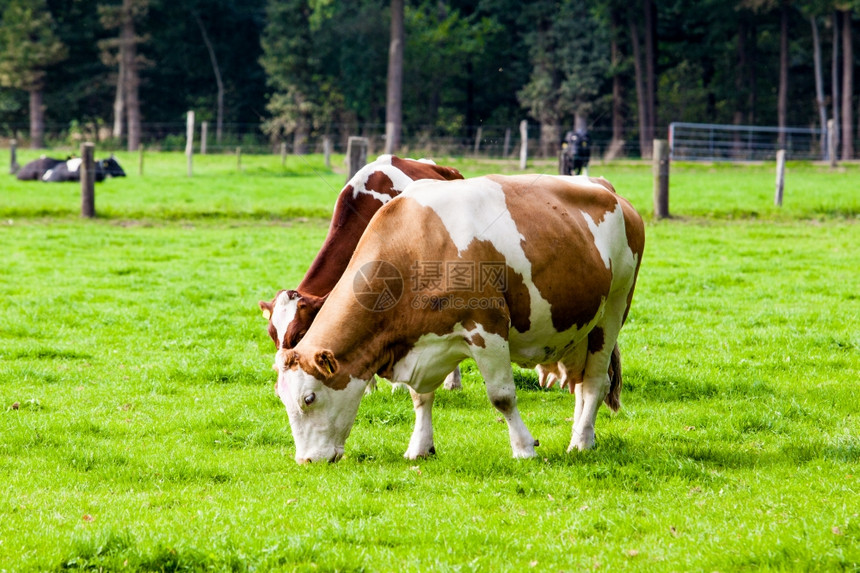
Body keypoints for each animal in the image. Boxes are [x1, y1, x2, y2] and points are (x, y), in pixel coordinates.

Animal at [260, 154, 464, 392]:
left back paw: (453, 381)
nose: (281, 385)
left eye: (300, 334)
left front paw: (399, 386)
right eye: (272, 334)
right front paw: (369, 387)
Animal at [272, 173, 640, 460]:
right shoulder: (422, 342)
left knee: (596, 381)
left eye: (308, 398)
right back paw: (584, 433)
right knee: (580, 384)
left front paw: (524, 448)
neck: (415, 246)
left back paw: (580, 442)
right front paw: (420, 447)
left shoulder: (488, 328)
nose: (306, 460)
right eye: (283, 400)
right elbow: (420, 397)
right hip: (580, 330)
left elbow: (502, 396)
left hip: (613, 310)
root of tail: (606, 188)